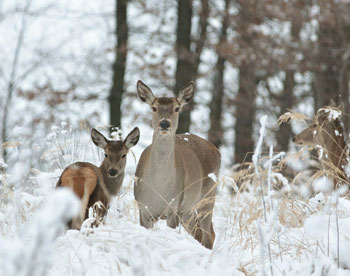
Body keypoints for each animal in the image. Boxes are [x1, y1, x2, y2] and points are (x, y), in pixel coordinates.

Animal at [135, 80, 221, 250]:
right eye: (154, 108)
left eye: (176, 108)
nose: (164, 123)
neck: (158, 188)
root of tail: (216, 150)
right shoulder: (143, 209)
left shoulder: (174, 207)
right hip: (188, 210)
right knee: (199, 232)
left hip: (208, 196)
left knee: (209, 234)